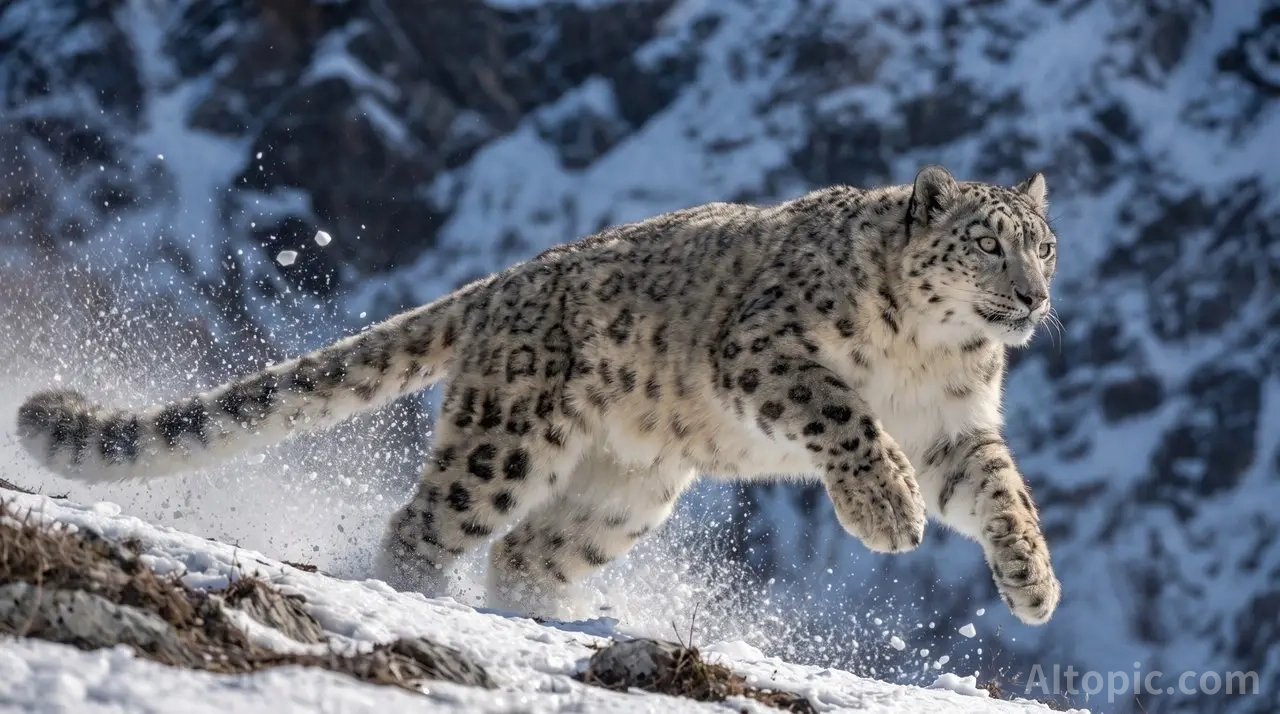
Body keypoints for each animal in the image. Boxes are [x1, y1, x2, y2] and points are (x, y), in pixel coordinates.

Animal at [15, 164, 1062, 624]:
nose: (1034, 296)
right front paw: (888, 512)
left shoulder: (956, 426)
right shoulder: (767, 349)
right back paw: (415, 597)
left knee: (527, 549)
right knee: (428, 523)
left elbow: (1003, 492)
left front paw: (1032, 581)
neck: (928, 353)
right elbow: (845, 416)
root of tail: (505, 279)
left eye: (1044, 243)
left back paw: (541, 617)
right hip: (504, 441)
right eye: (986, 242)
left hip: (626, 491)